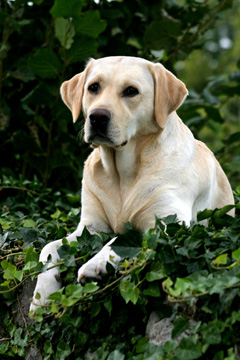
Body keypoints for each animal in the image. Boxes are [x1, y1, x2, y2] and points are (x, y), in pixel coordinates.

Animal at [29, 56, 234, 312]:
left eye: (131, 91)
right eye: (93, 87)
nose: (97, 117)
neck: (122, 174)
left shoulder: (170, 223)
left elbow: (123, 237)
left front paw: (95, 264)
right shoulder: (90, 228)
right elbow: (48, 247)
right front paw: (42, 295)